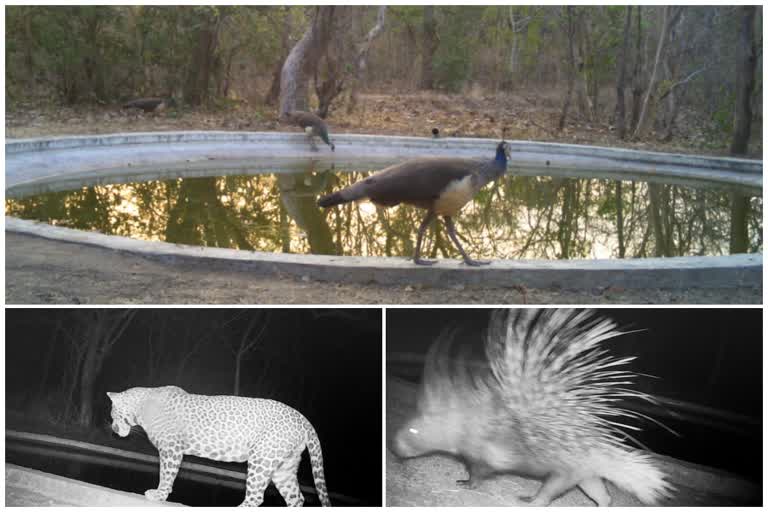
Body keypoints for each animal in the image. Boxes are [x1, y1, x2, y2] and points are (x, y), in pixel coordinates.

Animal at [106, 386, 330, 506]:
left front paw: (159, 494)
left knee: (256, 497)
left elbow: (166, 475)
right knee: (297, 498)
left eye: (113, 414)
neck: (141, 409)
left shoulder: (171, 448)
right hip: (284, 467)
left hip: (262, 459)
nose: (114, 430)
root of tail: (302, 418)